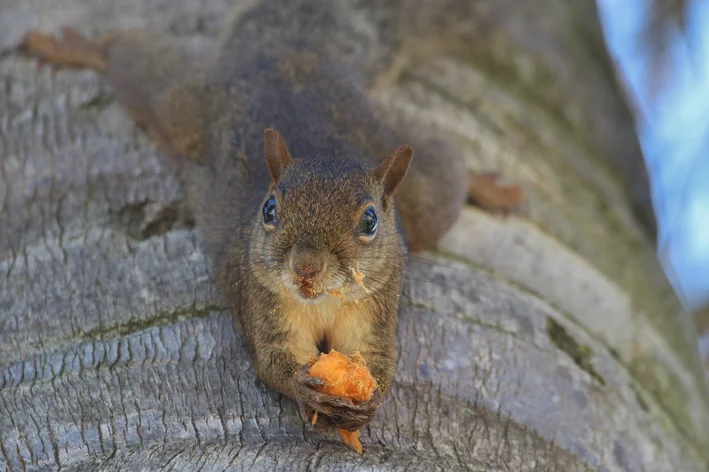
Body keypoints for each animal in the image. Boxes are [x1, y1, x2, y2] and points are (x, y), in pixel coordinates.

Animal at [16, 1, 524, 438]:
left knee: (447, 165)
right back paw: (75, 48)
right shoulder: (262, 300)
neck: (323, 301)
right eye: (269, 210)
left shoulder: (376, 307)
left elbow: (377, 357)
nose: (305, 268)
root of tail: (293, 56)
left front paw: (373, 398)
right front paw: (303, 388)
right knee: (131, 61)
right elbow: (273, 361)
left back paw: (486, 185)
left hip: (423, 194)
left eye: (370, 222)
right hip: (182, 105)